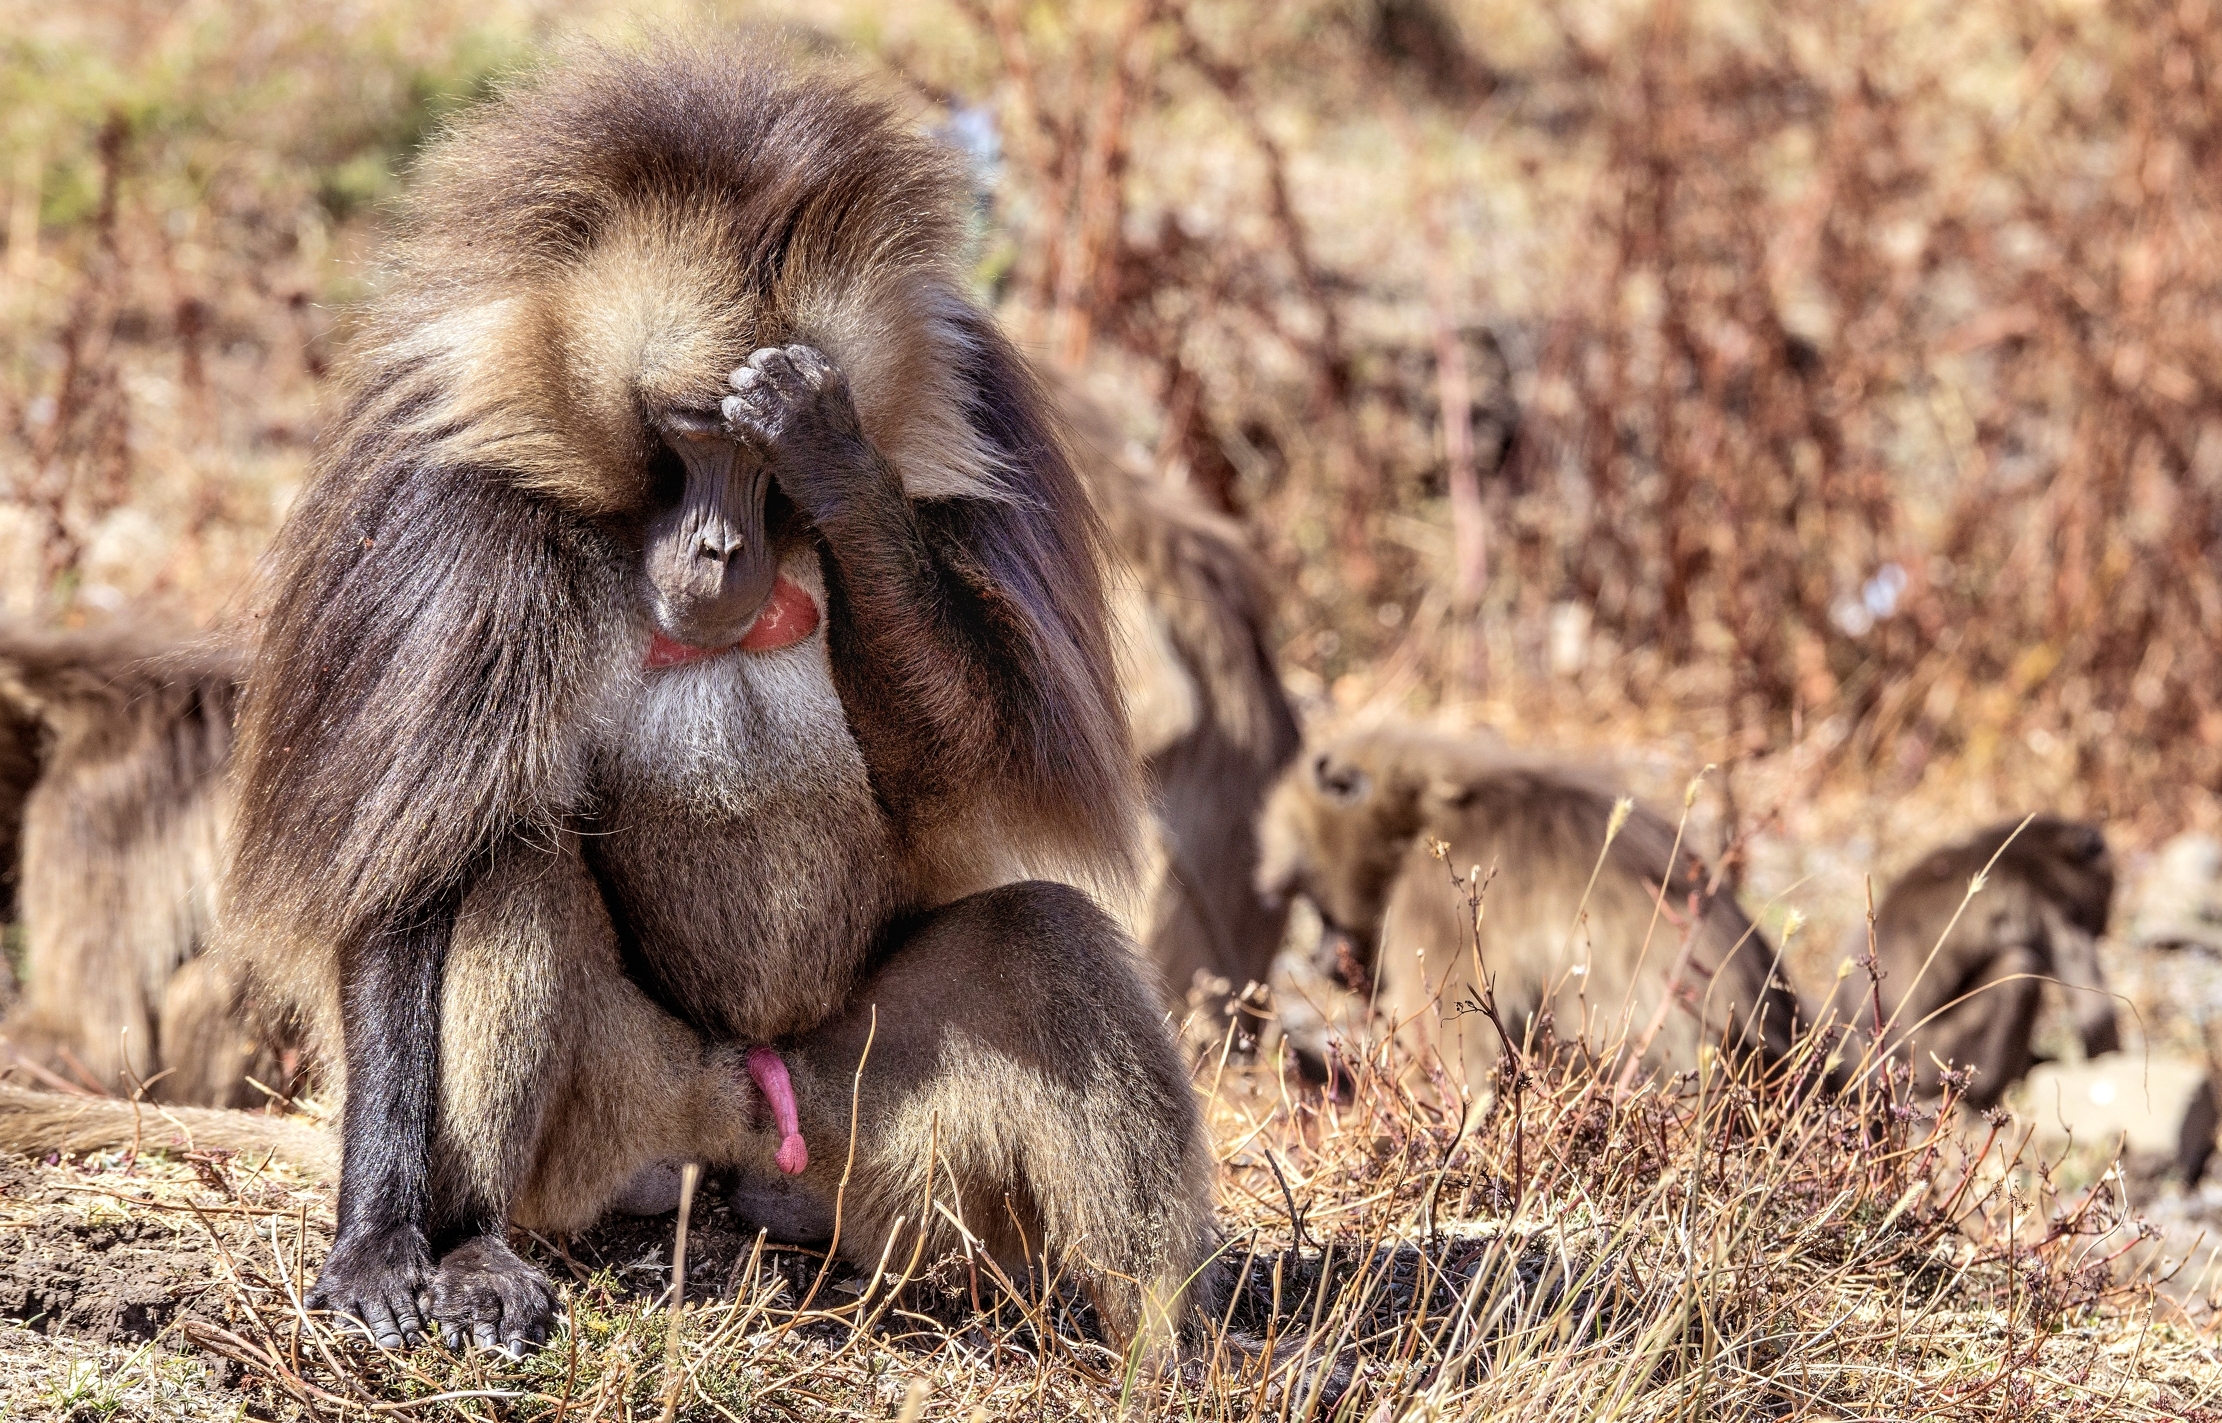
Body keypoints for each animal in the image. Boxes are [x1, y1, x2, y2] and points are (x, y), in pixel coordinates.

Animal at [198, 44, 1215, 1353]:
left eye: (763, 461)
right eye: (685, 435)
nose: (720, 556)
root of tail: (738, 1126)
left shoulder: (988, 438)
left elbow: (955, 770)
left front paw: (843, 465)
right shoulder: (449, 523)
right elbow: (409, 874)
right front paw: (378, 1240)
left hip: (866, 1138)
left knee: (1046, 942)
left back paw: (1170, 1346)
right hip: (623, 1132)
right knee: (515, 874)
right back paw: (473, 1247)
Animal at [1825, 815, 2119, 1109]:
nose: (2102, 929)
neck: (2039, 850)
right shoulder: (2044, 901)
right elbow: (2095, 1012)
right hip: (1937, 1054)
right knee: (2018, 966)